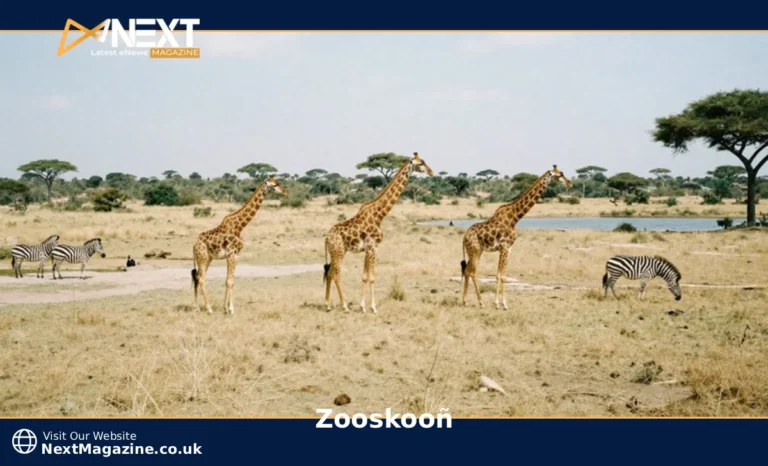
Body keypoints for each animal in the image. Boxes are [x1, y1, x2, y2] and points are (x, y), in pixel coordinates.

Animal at [191, 175, 287, 315]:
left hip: (206, 258)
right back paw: (209, 309)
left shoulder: (234, 255)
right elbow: (230, 281)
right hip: (203, 258)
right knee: (202, 279)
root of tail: (194, 245)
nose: (285, 192)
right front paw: (231, 309)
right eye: (274, 184)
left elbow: (229, 280)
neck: (239, 227)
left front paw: (225, 308)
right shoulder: (232, 254)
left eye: (277, 182)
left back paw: (197, 307)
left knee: (198, 278)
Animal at [323, 152, 434, 313]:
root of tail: (326, 238)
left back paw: (327, 305)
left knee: (330, 273)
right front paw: (373, 307)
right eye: (420, 163)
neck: (379, 215)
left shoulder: (367, 249)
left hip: (337, 252)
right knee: (336, 275)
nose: (432, 172)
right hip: (338, 252)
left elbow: (364, 276)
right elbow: (372, 277)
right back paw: (344, 306)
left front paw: (363, 307)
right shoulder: (372, 248)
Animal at [461, 165, 572, 310]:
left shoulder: (509, 249)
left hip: (477, 251)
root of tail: (464, 237)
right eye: (559, 175)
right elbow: (500, 276)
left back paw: (465, 301)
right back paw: (481, 302)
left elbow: (504, 275)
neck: (514, 218)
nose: (570, 183)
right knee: (472, 272)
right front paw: (500, 304)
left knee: (467, 271)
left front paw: (502, 303)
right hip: (474, 251)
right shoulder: (504, 247)